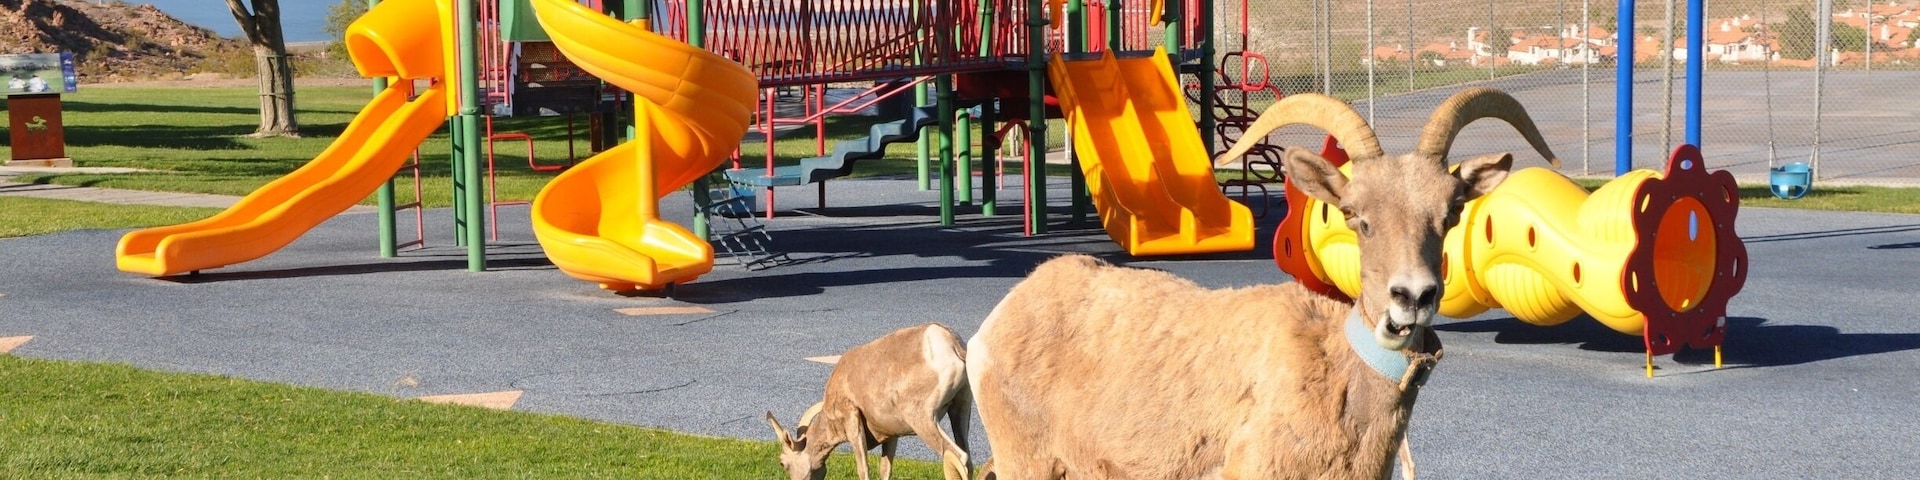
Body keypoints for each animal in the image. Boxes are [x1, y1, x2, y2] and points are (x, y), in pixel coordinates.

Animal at [767, 323, 973, 480]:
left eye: (782, 463)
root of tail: (951, 343)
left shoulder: (853, 423)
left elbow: (863, 469)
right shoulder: (891, 435)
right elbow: (885, 470)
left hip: (924, 419)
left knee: (958, 457)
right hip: (961, 409)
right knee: (968, 459)